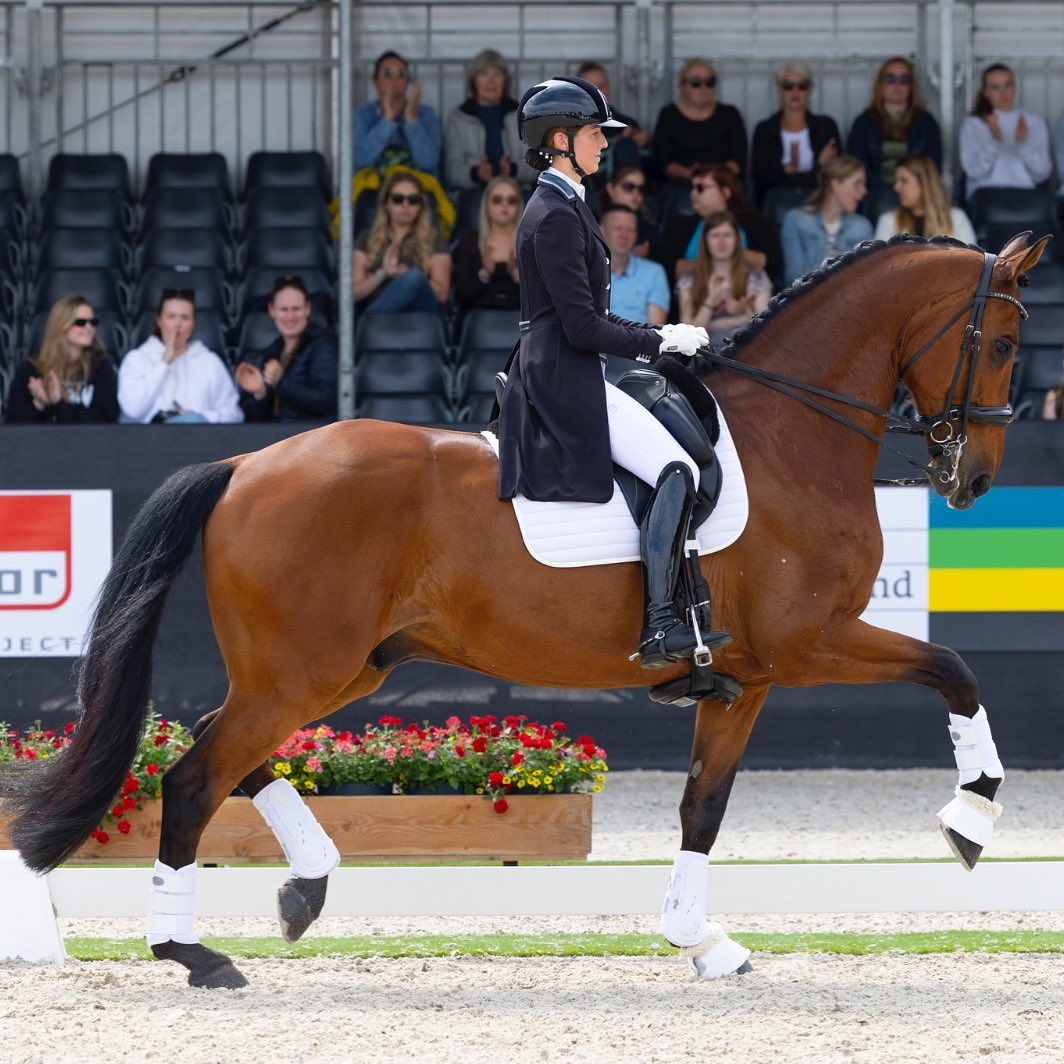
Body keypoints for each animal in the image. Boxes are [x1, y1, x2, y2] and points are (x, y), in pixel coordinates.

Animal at [3, 232, 1048, 988]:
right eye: (999, 344)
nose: (973, 479)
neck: (791, 433)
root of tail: (244, 463)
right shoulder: (811, 643)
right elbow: (955, 671)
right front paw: (970, 817)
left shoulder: (745, 677)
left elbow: (702, 808)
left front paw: (700, 940)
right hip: (302, 670)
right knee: (192, 777)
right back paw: (193, 954)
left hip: (337, 668)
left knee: (222, 749)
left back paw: (303, 886)